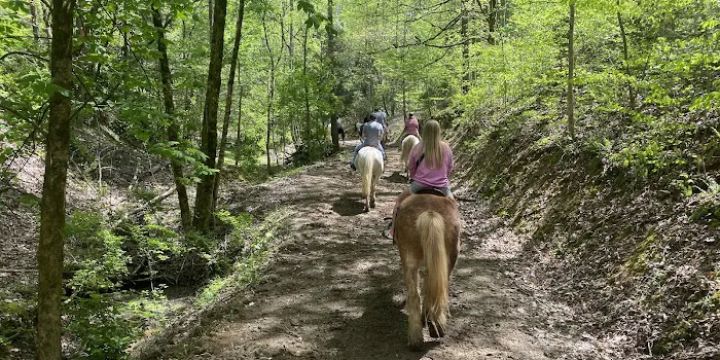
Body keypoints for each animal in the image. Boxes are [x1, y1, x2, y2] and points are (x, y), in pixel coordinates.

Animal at [394, 193, 462, 350]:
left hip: (409, 260)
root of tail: (430, 213)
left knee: (415, 294)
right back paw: (433, 328)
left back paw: (417, 337)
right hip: (446, 261)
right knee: (434, 290)